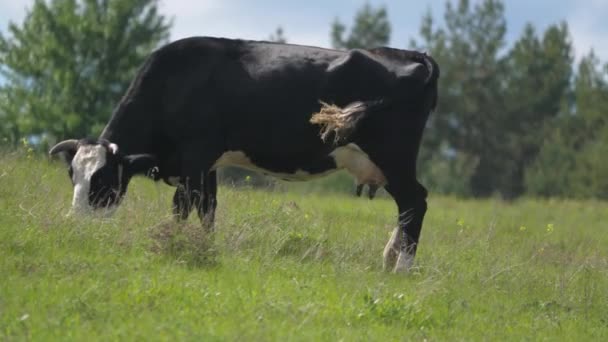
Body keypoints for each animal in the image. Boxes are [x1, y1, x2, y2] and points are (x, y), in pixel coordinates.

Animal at [47, 36, 436, 272]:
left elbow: (182, 207)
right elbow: (207, 210)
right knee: (406, 209)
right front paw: (204, 248)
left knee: (414, 202)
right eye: (72, 176)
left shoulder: (194, 158)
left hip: (393, 155)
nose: (75, 224)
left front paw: (172, 246)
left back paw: (402, 269)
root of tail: (409, 54)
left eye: (103, 180)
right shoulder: (207, 166)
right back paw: (388, 258)